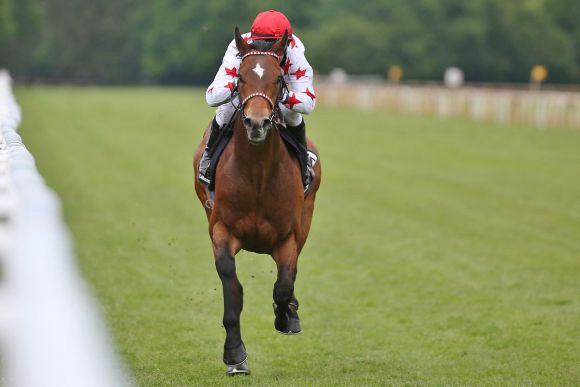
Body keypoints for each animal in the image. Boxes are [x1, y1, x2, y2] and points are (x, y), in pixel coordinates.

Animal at [194, 28, 322, 376]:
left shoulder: (289, 236)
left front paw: (286, 315)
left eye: (279, 78)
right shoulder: (221, 230)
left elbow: (284, 285)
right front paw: (235, 354)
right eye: (239, 77)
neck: (256, 174)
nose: (256, 123)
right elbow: (232, 289)